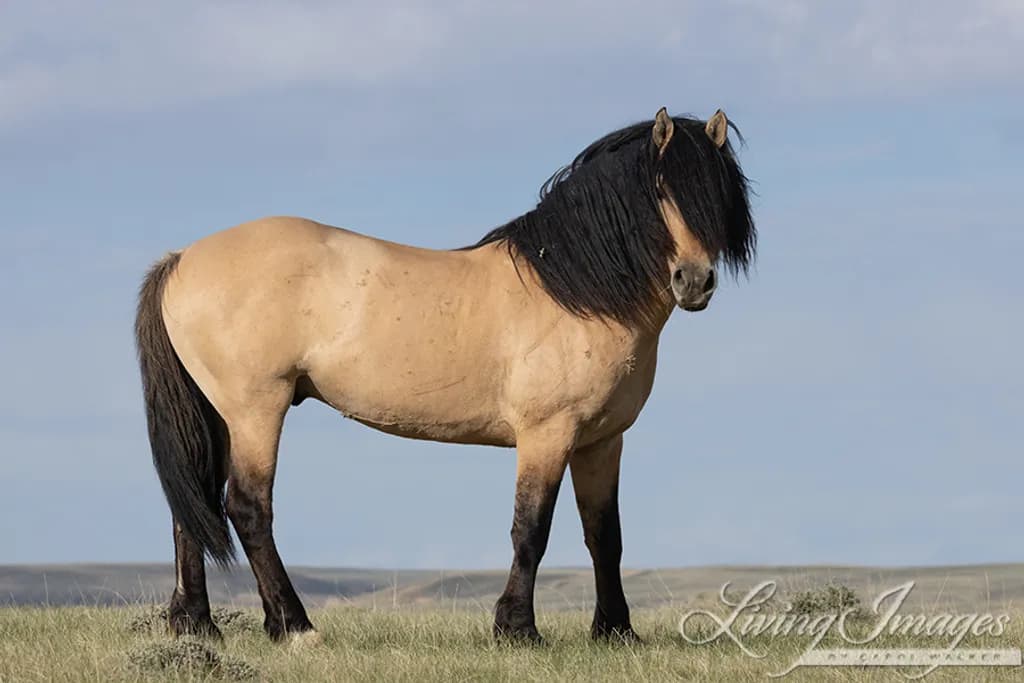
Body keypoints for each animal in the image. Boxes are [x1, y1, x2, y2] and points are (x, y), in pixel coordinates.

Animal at [135, 107, 755, 645]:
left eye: (718, 191)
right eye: (661, 191)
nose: (694, 281)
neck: (576, 293)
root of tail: (181, 260)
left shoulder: (601, 442)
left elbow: (605, 536)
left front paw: (615, 632)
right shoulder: (546, 435)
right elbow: (531, 529)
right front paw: (517, 630)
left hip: (217, 413)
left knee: (193, 506)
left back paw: (196, 625)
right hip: (255, 408)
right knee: (247, 507)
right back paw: (294, 626)